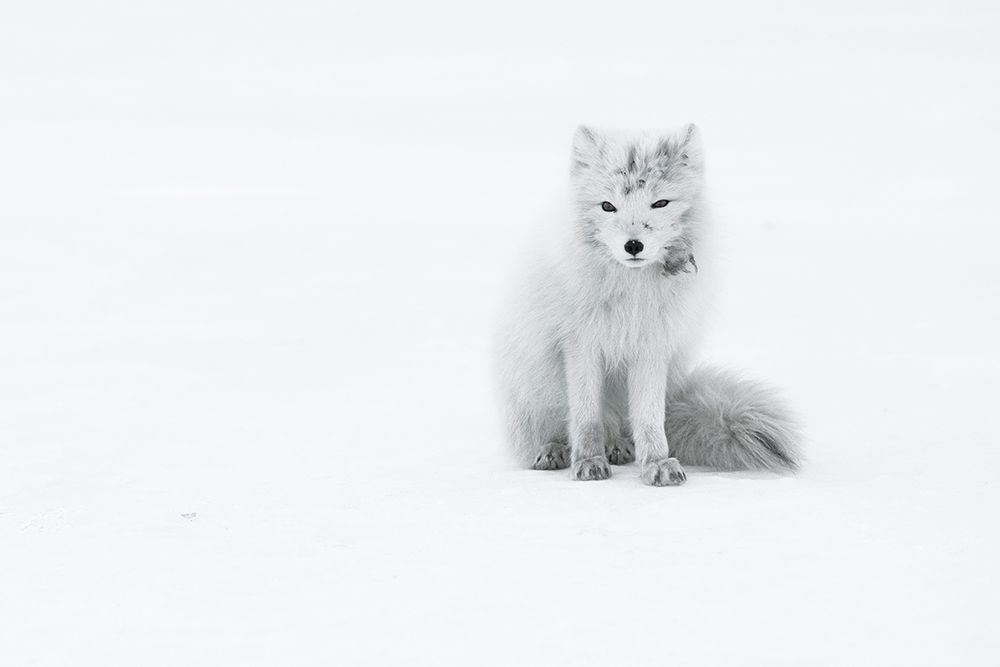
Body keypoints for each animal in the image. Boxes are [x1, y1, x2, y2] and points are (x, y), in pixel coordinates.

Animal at [496, 124, 800, 486]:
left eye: (660, 203)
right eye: (607, 206)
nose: (633, 245)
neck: (631, 294)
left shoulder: (652, 346)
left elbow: (650, 418)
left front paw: (656, 463)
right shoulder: (580, 345)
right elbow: (585, 416)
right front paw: (588, 461)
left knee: (622, 426)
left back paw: (618, 446)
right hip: (533, 386)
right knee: (552, 430)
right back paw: (554, 450)